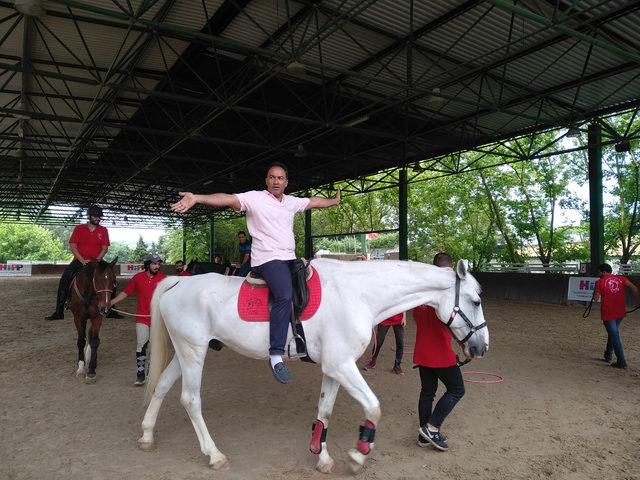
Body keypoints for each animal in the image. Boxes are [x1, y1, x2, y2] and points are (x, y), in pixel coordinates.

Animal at [140, 258, 488, 472]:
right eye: (476, 300)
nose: (481, 347)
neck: (358, 294)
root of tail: (177, 283)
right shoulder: (342, 365)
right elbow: (373, 407)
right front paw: (358, 454)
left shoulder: (334, 368)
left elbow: (325, 412)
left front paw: (321, 456)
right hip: (193, 351)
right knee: (190, 399)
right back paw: (214, 455)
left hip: (184, 352)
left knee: (162, 387)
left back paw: (146, 435)